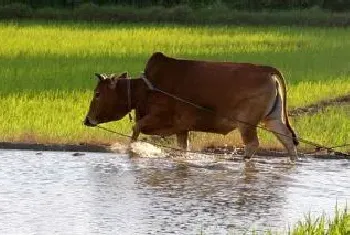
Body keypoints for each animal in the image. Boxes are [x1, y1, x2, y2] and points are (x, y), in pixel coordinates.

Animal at [84, 52, 298, 160]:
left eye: (97, 93)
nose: (87, 120)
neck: (145, 88)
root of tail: (267, 70)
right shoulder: (182, 128)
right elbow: (183, 148)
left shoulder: (159, 117)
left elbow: (135, 128)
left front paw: (132, 150)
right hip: (273, 119)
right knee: (288, 140)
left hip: (246, 123)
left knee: (252, 144)